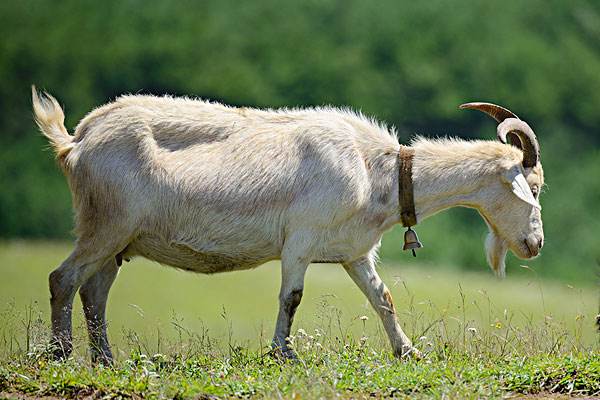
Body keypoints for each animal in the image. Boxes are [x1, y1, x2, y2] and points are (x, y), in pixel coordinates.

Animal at [31, 88, 544, 366]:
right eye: (535, 187)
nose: (536, 244)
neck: (373, 168)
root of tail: (76, 141)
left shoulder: (354, 251)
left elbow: (383, 298)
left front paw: (408, 352)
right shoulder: (300, 240)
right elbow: (292, 297)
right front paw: (284, 353)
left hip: (117, 237)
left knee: (94, 291)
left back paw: (104, 359)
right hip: (106, 224)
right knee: (63, 278)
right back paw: (59, 354)